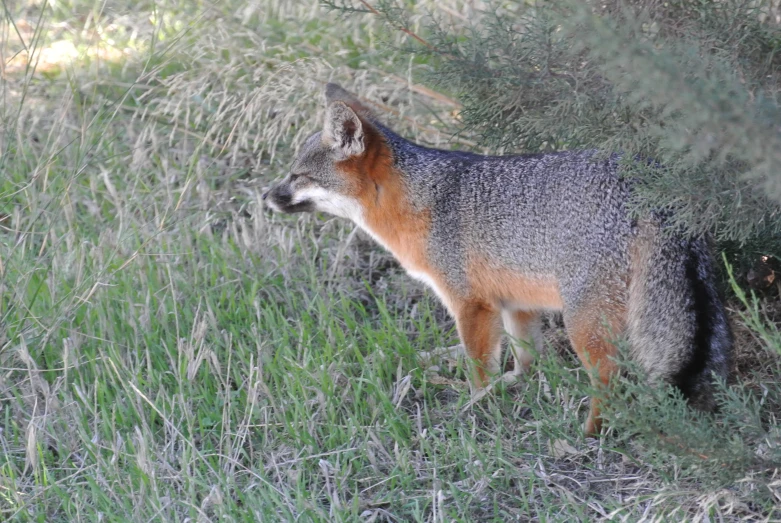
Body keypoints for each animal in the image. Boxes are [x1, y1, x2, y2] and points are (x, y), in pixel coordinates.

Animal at [266, 82, 732, 434]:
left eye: (297, 176)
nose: (266, 196)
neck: (418, 201)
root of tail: (649, 179)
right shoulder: (516, 302)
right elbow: (526, 357)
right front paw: (510, 387)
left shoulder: (471, 303)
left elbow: (478, 366)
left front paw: (475, 406)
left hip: (585, 322)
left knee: (609, 380)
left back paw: (592, 433)